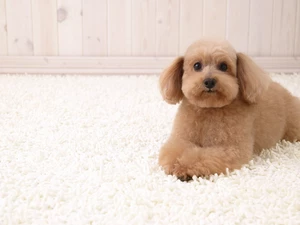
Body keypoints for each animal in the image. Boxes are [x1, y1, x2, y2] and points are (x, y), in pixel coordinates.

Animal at [158, 37, 298, 180]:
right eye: (197, 66)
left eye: (223, 66)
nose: (209, 81)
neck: (210, 108)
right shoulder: (181, 138)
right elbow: (173, 150)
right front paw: (176, 164)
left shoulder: (231, 148)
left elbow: (202, 156)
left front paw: (184, 166)